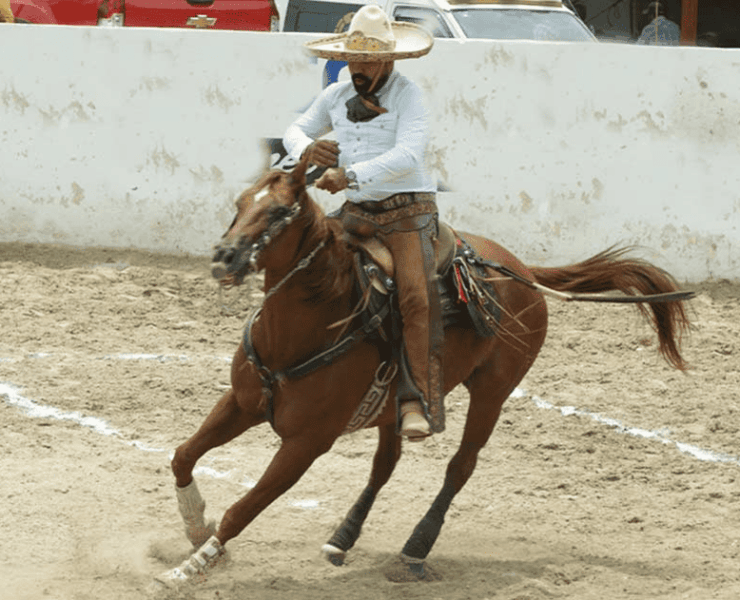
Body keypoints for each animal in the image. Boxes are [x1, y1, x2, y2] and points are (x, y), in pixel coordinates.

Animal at [151, 155, 692, 591]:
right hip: (397, 405)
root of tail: (521, 271)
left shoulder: (306, 443)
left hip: (493, 391)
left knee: (460, 466)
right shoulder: (242, 402)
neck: (305, 328)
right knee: (385, 464)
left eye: (281, 212)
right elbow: (182, 455)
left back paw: (415, 549)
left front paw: (189, 568)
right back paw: (342, 538)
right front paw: (195, 529)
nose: (224, 258)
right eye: (241, 202)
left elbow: (245, 507)